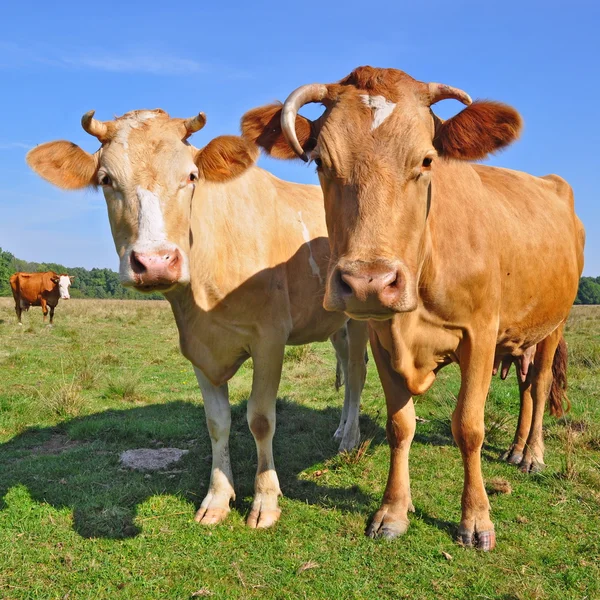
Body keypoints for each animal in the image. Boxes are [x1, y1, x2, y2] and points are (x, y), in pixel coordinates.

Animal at [25, 108, 368, 528]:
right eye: (106, 179)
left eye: (191, 176)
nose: (155, 262)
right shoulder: (197, 345)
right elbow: (217, 422)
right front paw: (218, 498)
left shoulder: (270, 339)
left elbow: (260, 418)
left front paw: (265, 500)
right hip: (336, 323)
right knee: (346, 364)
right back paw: (341, 429)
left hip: (363, 315)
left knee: (357, 372)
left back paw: (349, 439)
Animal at [241, 65, 584, 548]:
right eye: (321, 163)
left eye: (426, 161)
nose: (368, 282)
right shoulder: (382, 339)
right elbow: (400, 425)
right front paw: (393, 511)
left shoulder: (480, 336)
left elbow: (469, 427)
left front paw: (476, 519)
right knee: (523, 386)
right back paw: (516, 447)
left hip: (554, 324)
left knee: (538, 384)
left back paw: (531, 453)